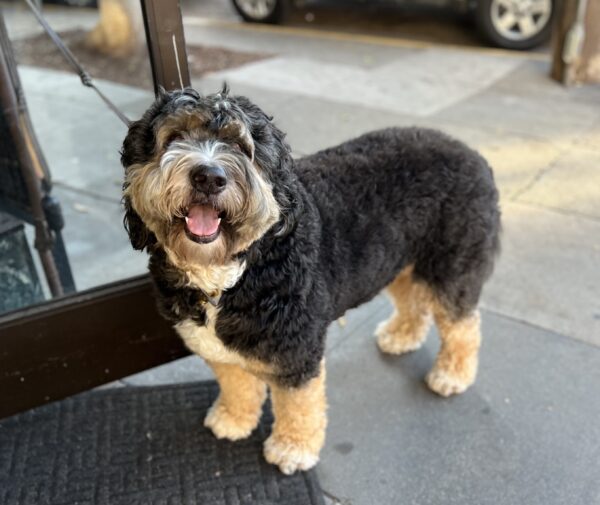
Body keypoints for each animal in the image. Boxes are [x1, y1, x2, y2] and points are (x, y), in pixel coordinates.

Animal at [119, 84, 500, 474]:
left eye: (241, 145)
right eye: (174, 138)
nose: (209, 177)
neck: (237, 268)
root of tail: (473, 154)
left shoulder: (296, 352)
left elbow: (298, 404)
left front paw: (292, 448)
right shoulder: (218, 349)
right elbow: (237, 384)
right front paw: (233, 419)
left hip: (451, 265)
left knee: (463, 325)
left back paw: (452, 374)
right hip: (401, 259)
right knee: (414, 301)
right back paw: (403, 336)